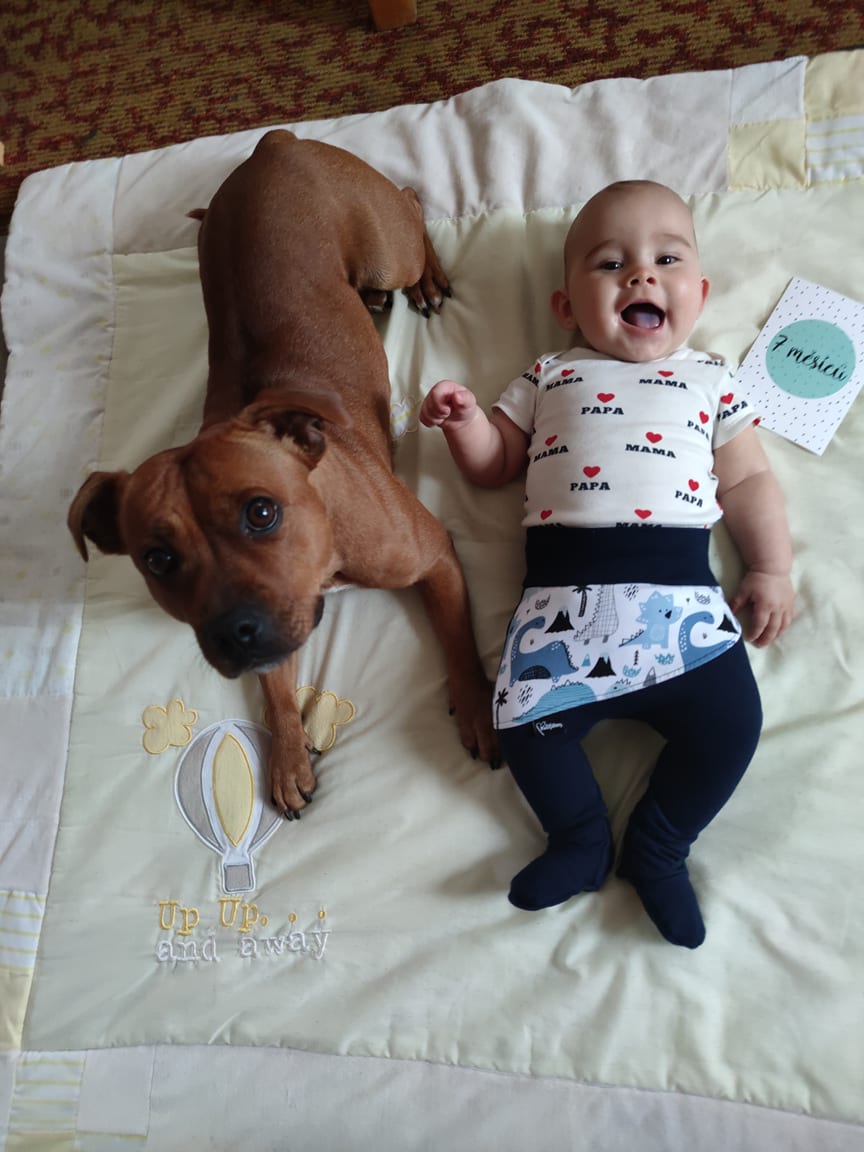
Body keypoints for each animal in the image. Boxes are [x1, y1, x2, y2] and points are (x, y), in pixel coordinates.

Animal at [68, 129, 497, 816]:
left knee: (409, 204)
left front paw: (479, 706)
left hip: (385, 248)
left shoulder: (434, 556)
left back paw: (425, 278)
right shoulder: (278, 633)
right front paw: (288, 755)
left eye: (262, 511)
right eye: (157, 559)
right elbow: (274, 690)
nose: (236, 632)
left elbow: (458, 639)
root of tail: (276, 143)